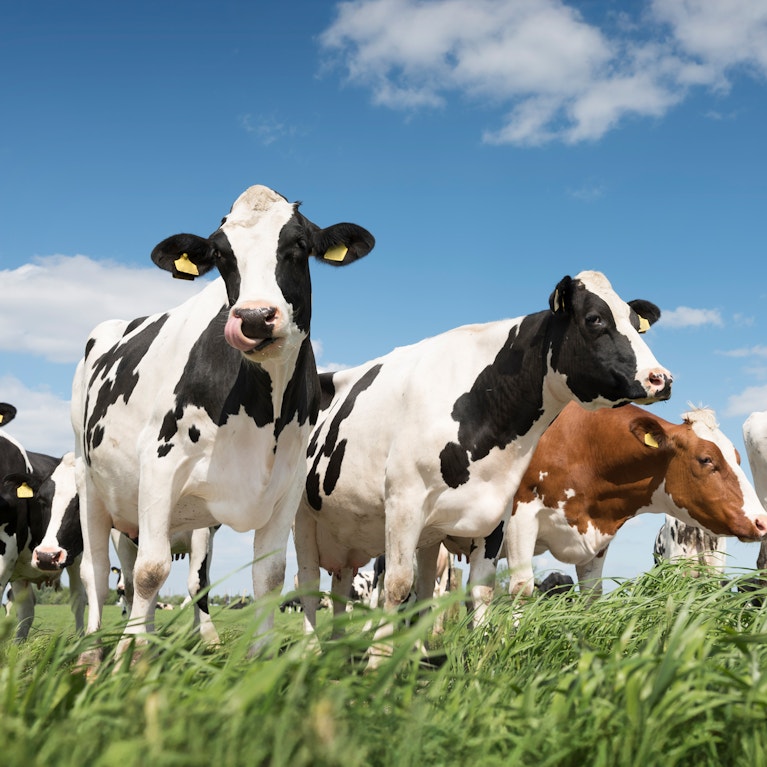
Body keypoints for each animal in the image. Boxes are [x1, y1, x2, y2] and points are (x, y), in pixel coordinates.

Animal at [72, 184, 375, 665]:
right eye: (220, 254)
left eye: (299, 245)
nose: (253, 317)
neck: (264, 411)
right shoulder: (159, 465)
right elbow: (150, 572)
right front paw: (132, 659)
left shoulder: (286, 485)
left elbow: (270, 575)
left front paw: (261, 657)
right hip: (89, 482)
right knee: (98, 571)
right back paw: (93, 654)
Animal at [294, 270, 673, 666]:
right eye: (595, 319)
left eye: (636, 322)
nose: (661, 378)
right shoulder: (403, 501)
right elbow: (397, 586)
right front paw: (377, 663)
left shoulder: (496, 514)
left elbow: (480, 591)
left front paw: (478, 657)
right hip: (301, 515)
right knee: (308, 584)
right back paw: (309, 651)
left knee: (356, 585)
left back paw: (345, 650)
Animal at [451, 403, 767, 620]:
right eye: (706, 459)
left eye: (738, 458)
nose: (761, 521)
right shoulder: (521, 515)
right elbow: (521, 589)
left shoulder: (597, 532)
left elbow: (592, 594)